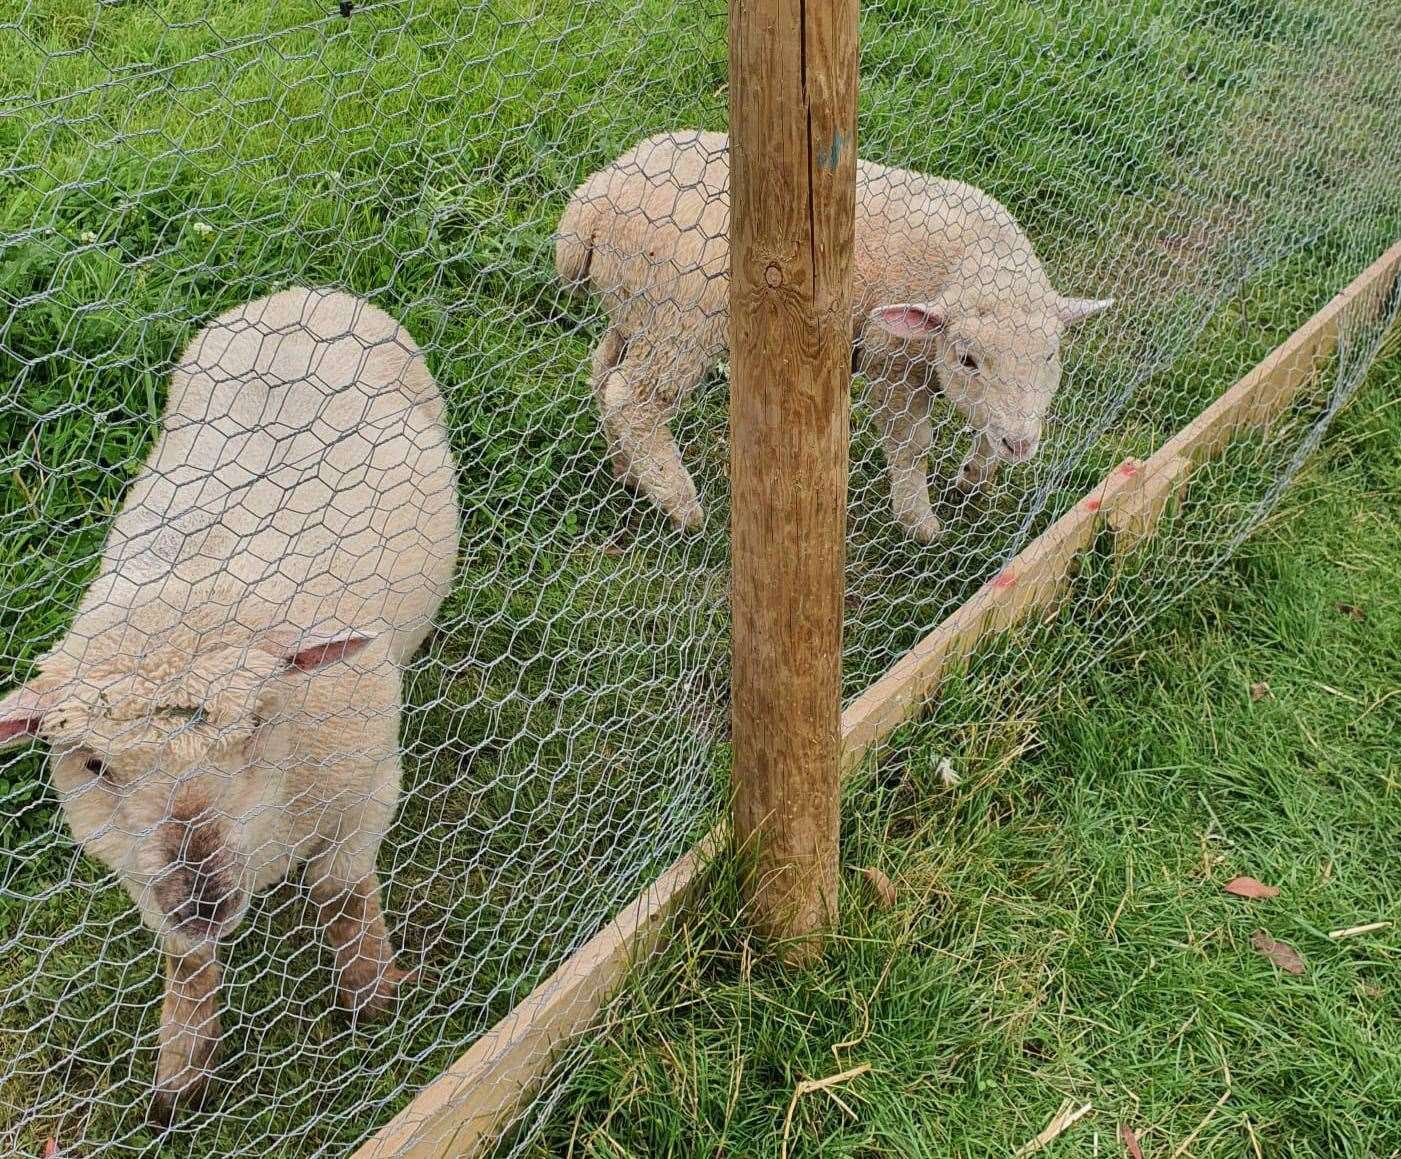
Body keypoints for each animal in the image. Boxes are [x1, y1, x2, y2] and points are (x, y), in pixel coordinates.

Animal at [0, 285, 459, 1121]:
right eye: (93, 763)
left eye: (254, 727)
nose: (203, 898)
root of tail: (306, 291)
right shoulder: (137, 868)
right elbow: (185, 961)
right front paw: (181, 1069)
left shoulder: (367, 788)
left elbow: (340, 893)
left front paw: (370, 992)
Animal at [557, 128, 1115, 540]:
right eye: (967, 360)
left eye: (1050, 358)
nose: (1021, 445)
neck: (973, 257)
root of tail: (592, 201)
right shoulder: (892, 362)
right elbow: (913, 445)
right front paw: (920, 521)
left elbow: (986, 424)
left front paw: (976, 475)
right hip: (682, 318)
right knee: (634, 398)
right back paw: (679, 502)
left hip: (637, 309)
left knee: (603, 373)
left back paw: (627, 471)